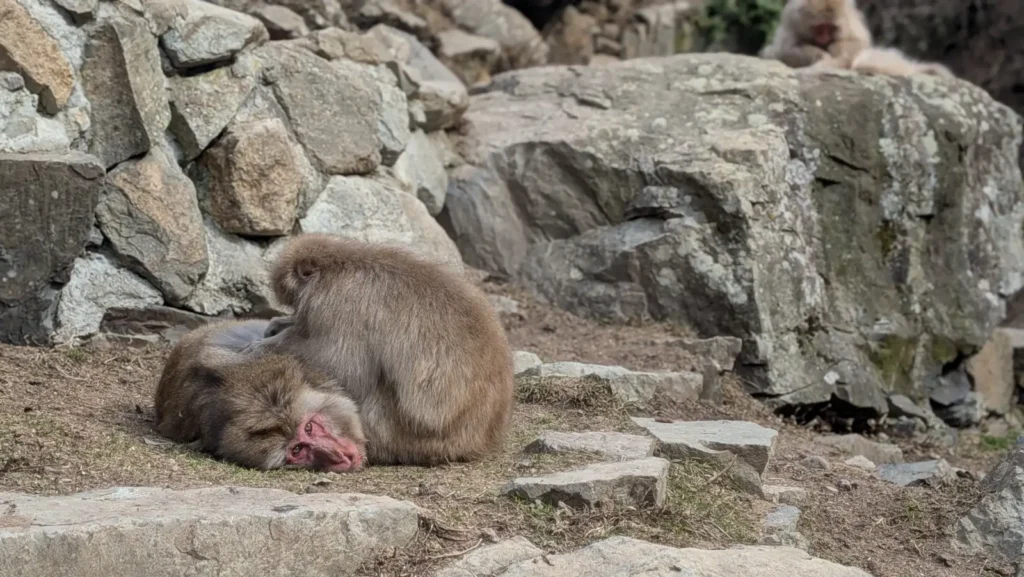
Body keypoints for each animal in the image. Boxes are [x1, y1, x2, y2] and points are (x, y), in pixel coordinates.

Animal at [244, 233, 516, 466]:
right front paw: (280, 325)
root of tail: (481, 440)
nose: (294, 313)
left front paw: (272, 343)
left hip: (406, 437)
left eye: (292, 298)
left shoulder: (338, 304)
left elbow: (344, 368)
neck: (338, 265)